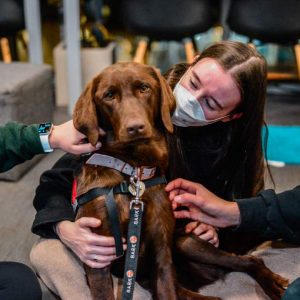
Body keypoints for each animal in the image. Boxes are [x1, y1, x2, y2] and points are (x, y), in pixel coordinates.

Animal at [72, 62, 288, 298]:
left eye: (144, 88)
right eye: (109, 95)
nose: (135, 127)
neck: (133, 170)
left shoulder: (162, 253)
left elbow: (167, 288)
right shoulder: (98, 257)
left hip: (186, 242)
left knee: (249, 260)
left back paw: (272, 283)